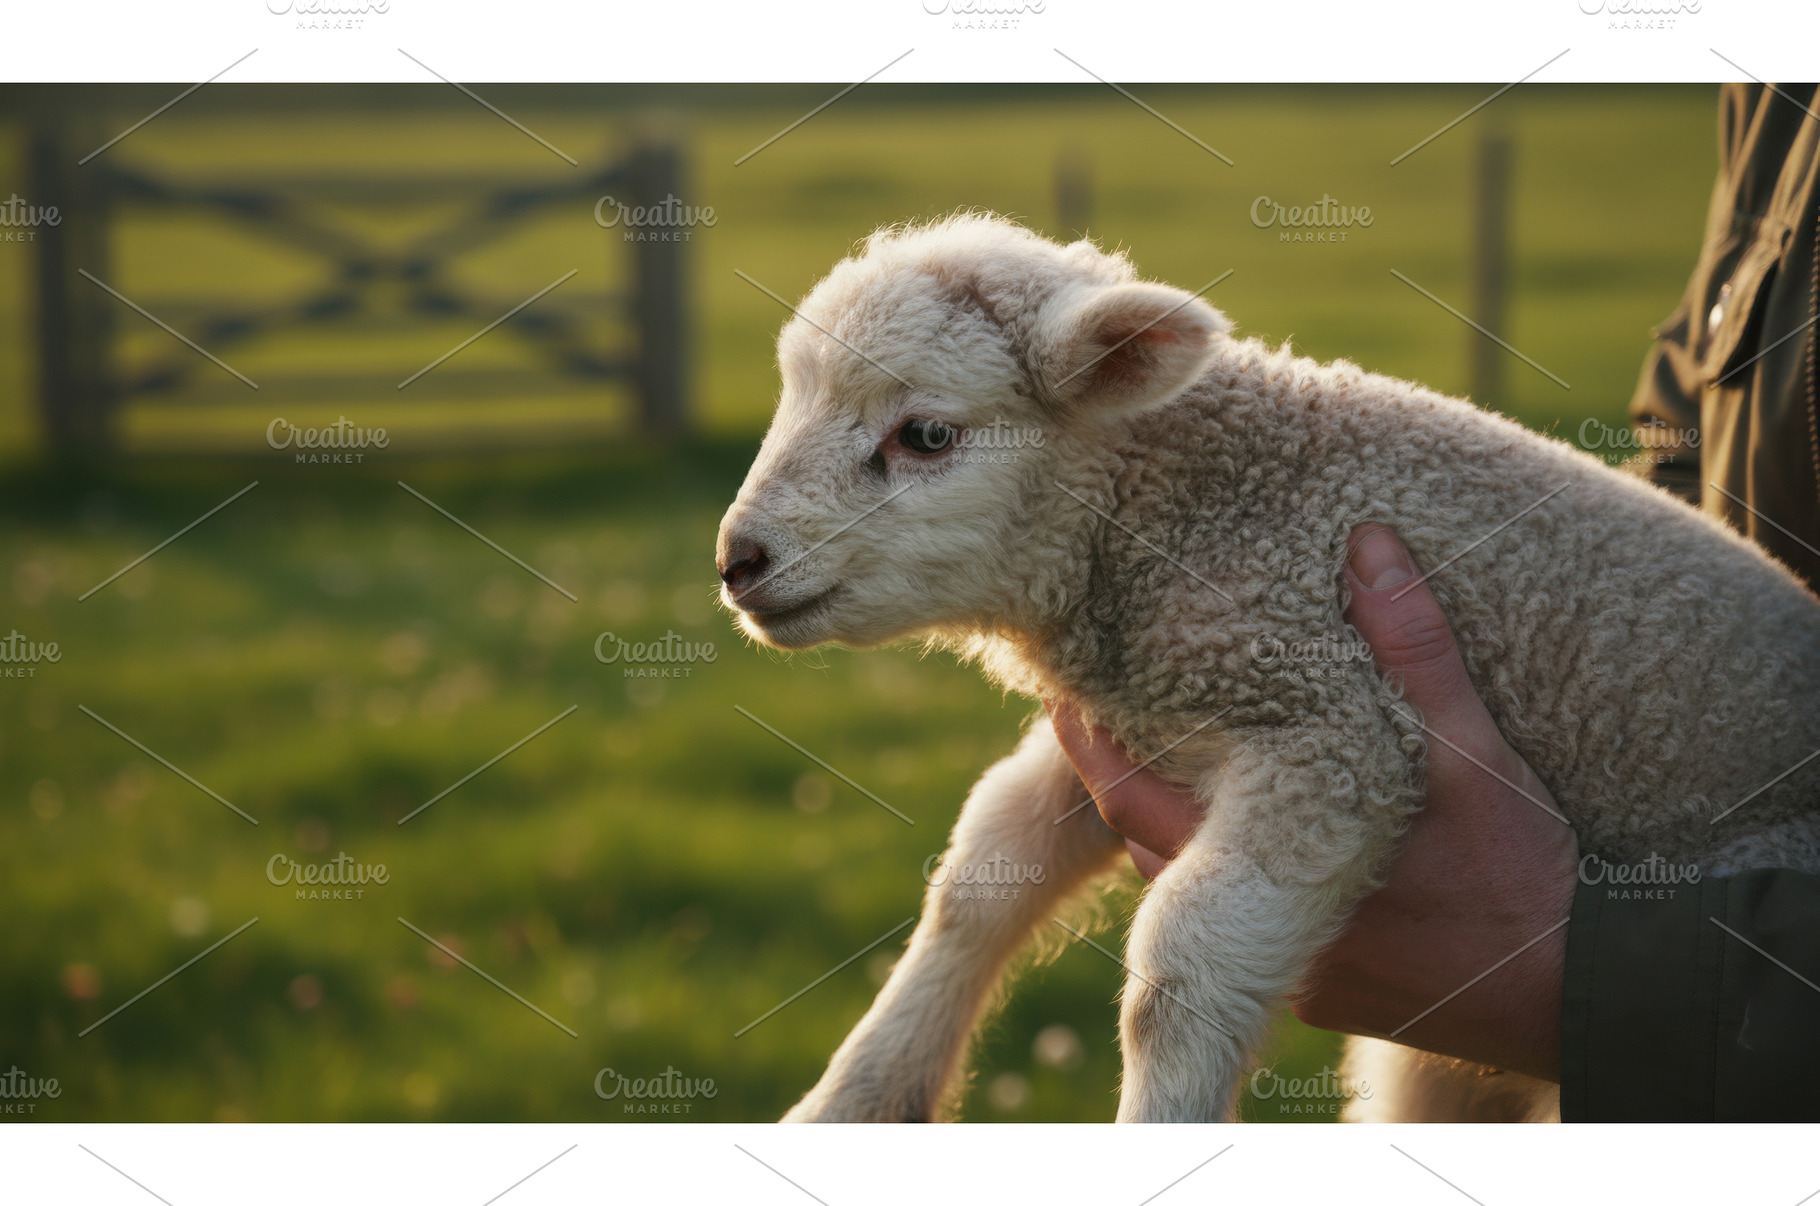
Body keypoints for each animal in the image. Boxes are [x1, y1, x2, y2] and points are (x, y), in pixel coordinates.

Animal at [715, 212, 1820, 1123]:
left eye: (927, 435)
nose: (737, 561)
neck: (1183, 519)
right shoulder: (1143, 724)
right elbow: (978, 876)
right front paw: (852, 1103)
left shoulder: (1334, 733)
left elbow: (1179, 969)